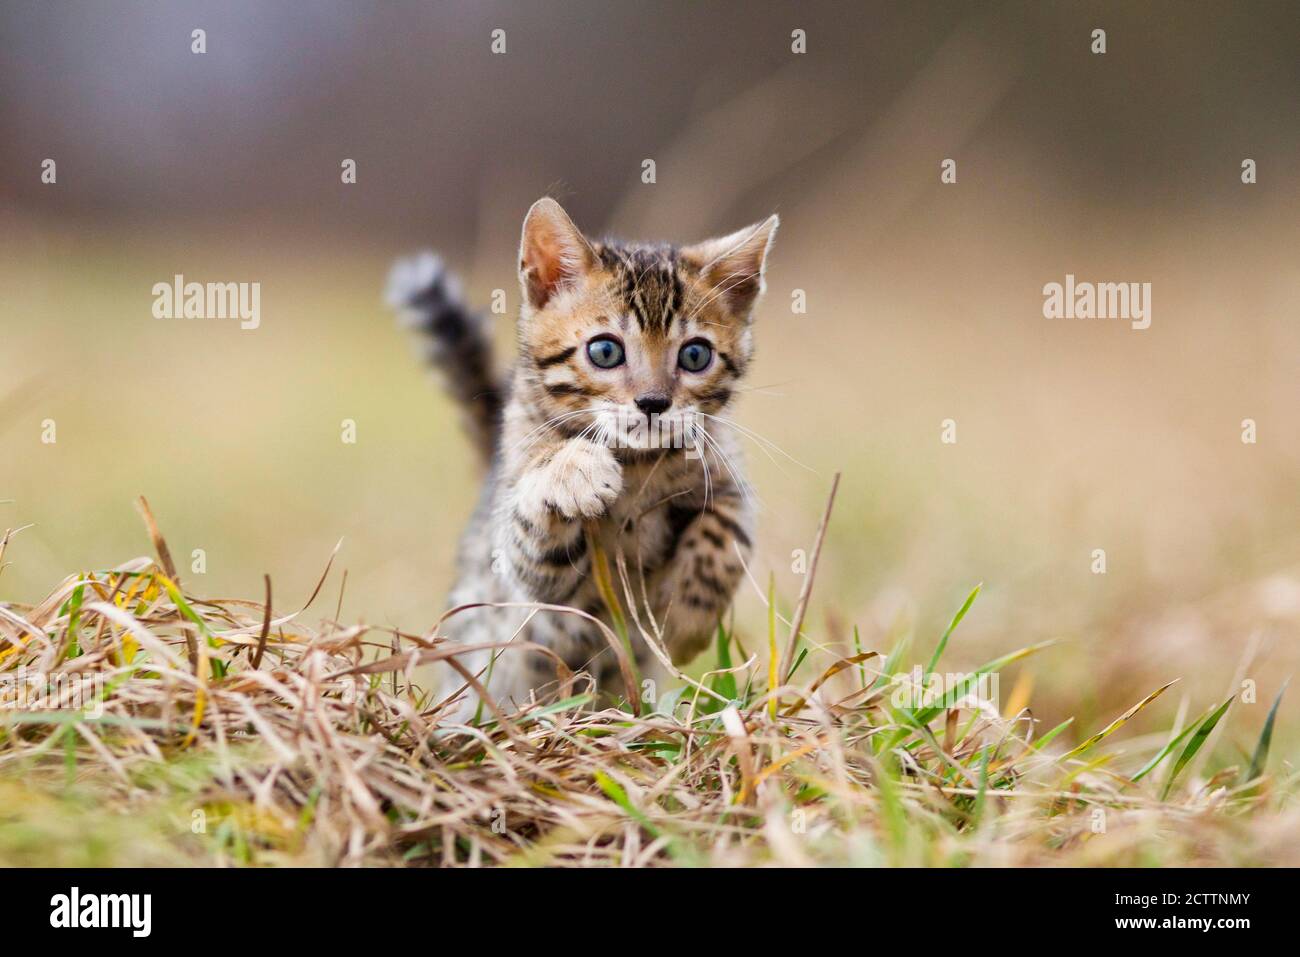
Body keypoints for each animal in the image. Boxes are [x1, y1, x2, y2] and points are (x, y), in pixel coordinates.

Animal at [379, 196, 774, 717]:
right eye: (605, 351)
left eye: (695, 356)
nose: (653, 403)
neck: (638, 464)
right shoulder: (533, 577)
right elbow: (536, 514)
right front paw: (575, 469)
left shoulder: (728, 480)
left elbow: (724, 537)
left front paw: (684, 627)